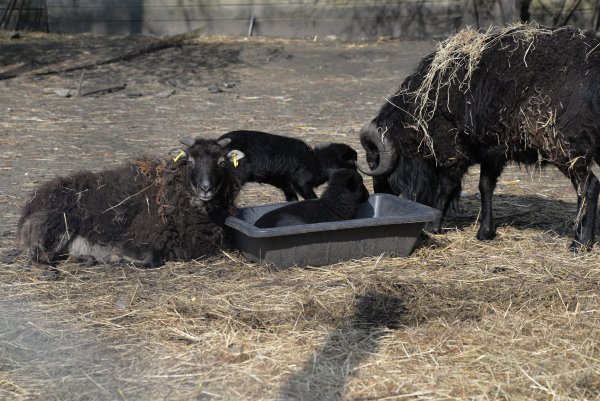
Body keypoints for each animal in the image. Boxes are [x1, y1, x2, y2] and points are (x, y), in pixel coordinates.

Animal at [17, 137, 240, 268]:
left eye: (222, 162)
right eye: (190, 162)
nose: (206, 188)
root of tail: (33, 201)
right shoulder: (137, 240)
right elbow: (151, 259)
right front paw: (116, 258)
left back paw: (86, 259)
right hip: (56, 226)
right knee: (37, 254)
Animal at [217, 130, 358, 201]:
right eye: (351, 162)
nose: (357, 176)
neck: (316, 162)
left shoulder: (286, 184)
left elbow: (293, 200)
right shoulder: (302, 182)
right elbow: (312, 198)